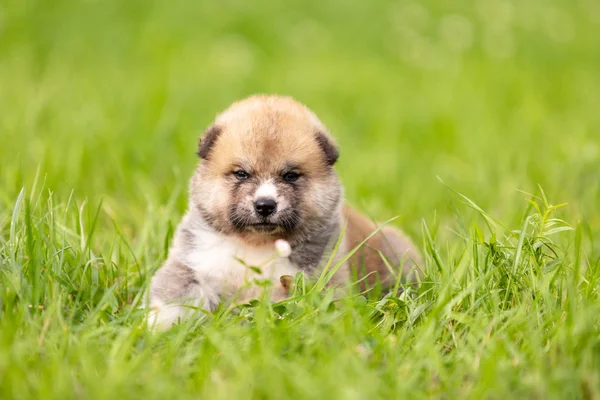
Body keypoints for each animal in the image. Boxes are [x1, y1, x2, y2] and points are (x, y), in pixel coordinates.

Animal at [149, 95, 422, 330]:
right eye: (241, 173)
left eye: (290, 175)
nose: (265, 205)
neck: (256, 245)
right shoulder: (193, 263)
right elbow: (173, 297)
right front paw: (157, 328)